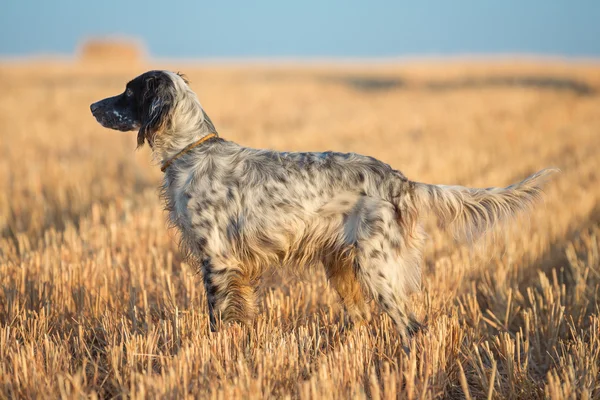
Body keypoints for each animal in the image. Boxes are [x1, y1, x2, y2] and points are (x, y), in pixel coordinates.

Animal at [91, 70, 556, 342]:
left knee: (412, 327)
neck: (191, 151)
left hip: (378, 268)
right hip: (343, 267)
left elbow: (217, 319)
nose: (93, 105)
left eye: (129, 90)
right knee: (364, 320)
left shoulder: (218, 260)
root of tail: (400, 180)